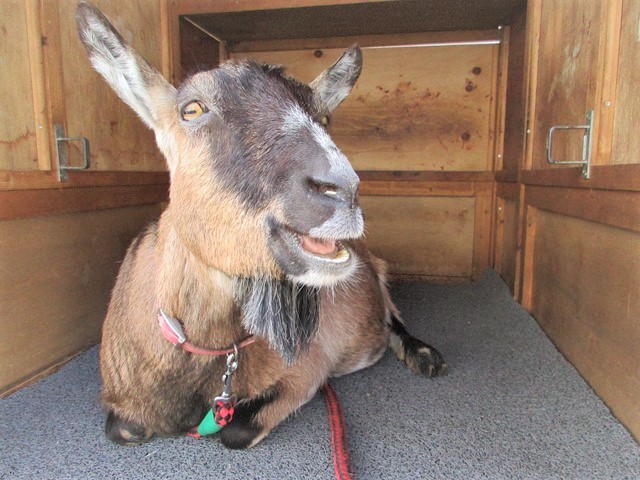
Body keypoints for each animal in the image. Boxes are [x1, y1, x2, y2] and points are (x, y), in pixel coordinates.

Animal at [75, 2, 444, 450]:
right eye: (192, 109)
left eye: (323, 116)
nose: (343, 188)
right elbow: (123, 428)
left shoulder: (305, 370)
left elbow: (236, 430)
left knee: (393, 316)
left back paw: (423, 355)